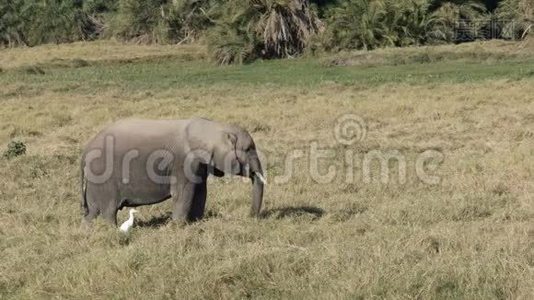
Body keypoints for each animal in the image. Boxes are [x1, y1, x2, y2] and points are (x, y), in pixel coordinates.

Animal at [80, 118, 266, 226]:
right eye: (249, 149)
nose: (251, 217)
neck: (213, 127)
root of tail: (85, 151)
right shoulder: (183, 163)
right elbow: (184, 193)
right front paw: (178, 226)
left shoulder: (199, 164)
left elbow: (200, 191)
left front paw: (196, 222)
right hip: (104, 178)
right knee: (109, 210)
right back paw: (112, 230)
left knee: (92, 212)